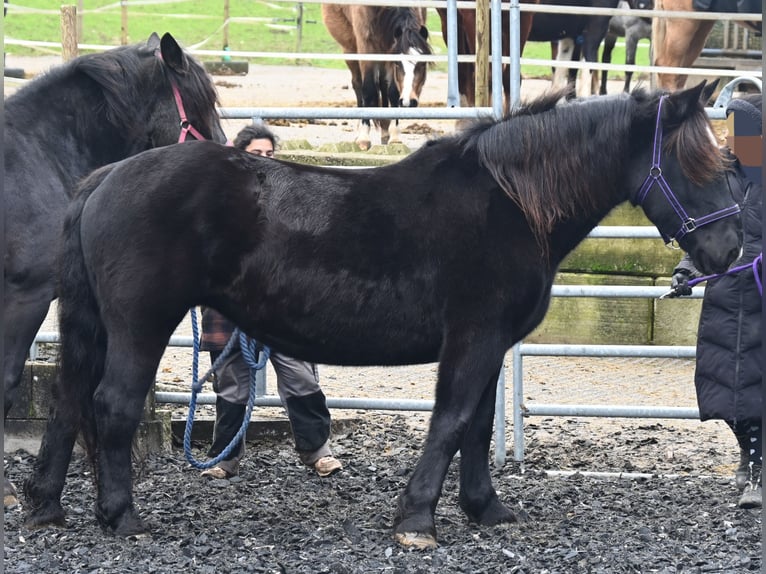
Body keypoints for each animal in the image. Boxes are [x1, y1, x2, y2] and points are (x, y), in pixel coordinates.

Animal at [27, 82, 740, 548]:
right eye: (695, 164)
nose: (731, 250)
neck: (513, 203)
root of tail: (107, 176)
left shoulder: (488, 345)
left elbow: (477, 425)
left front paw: (484, 508)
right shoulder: (474, 338)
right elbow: (452, 421)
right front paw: (417, 522)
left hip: (97, 327)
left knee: (67, 402)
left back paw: (45, 507)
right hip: (141, 326)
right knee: (112, 405)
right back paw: (122, 517)